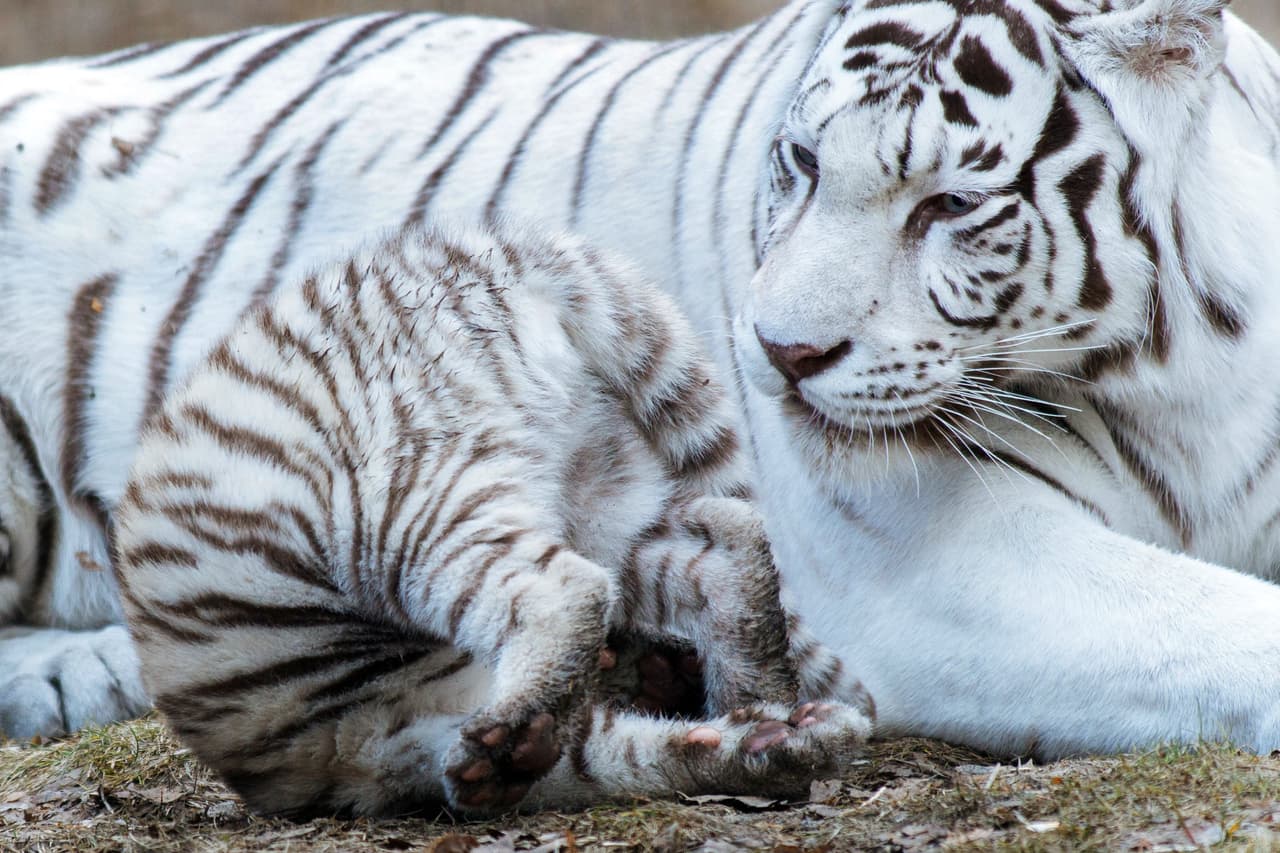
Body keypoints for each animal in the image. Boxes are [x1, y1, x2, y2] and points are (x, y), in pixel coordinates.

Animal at [110, 222, 871, 816]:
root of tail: (509, 255)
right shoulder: (399, 741)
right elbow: (605, 754)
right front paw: (775, 742)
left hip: (401, 506)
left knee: (568, 588)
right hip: (595, 490)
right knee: (727, 548)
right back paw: (760, 695)